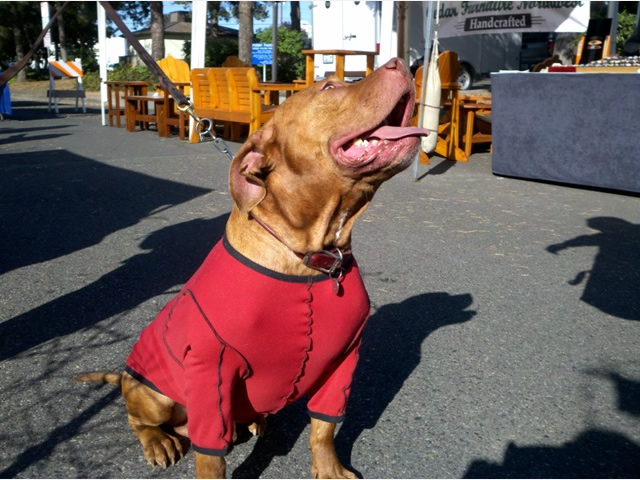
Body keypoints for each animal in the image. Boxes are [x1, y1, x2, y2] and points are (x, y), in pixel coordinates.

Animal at [77, 58, 430, 478]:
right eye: (328, 87)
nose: (401, 63)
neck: (308, 257)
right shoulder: (210, 367)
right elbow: (211, 457)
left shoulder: (345, 359)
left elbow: (324, 427)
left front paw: (328, 468)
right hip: (153, 392)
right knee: (141, 419)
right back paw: (160, 440)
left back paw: (251, 422)